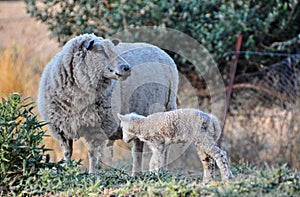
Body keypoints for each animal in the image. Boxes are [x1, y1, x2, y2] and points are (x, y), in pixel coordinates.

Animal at [37, 33, 178, 174]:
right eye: (99, 50)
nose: (127, 68)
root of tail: (161, 51)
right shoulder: (61, 128)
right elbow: (67, 153)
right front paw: (67, 171)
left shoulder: (95, 127)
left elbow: (92, 153)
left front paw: (92, 173)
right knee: (139, 147)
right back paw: (137, 174)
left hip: (165, 110)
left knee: (160, 146)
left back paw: (161, 170)